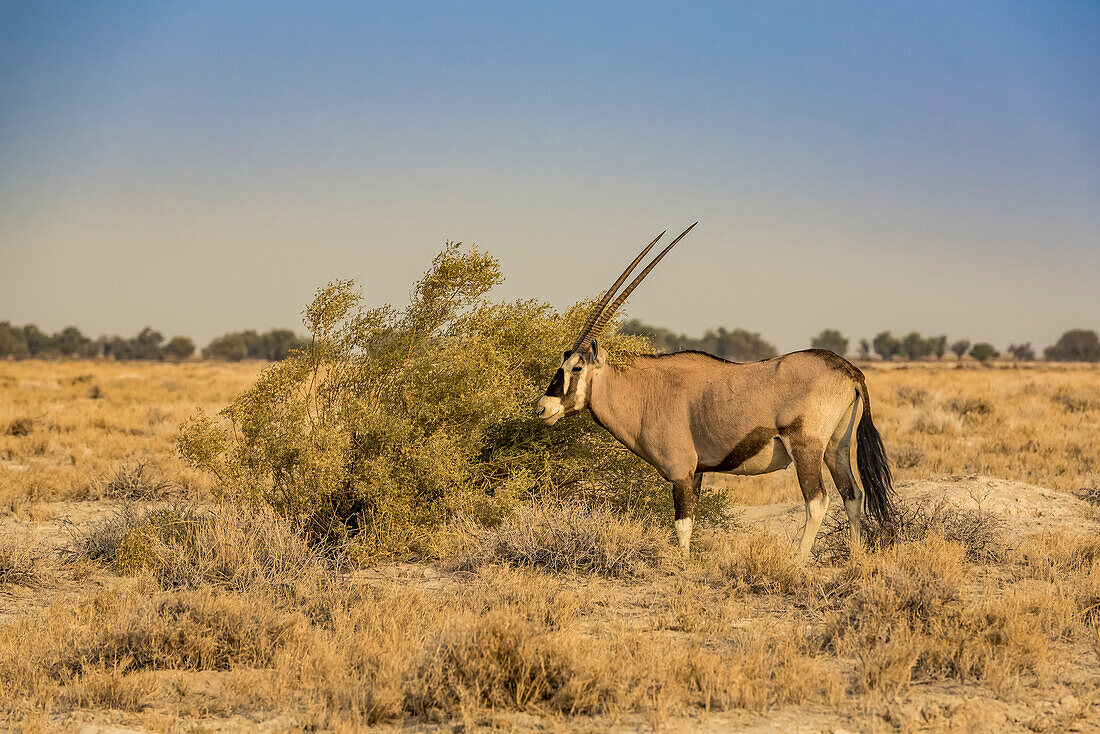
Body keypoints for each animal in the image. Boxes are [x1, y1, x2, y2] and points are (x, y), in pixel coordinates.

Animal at [536, 226, 897, 559]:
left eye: (576, 368)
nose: (542, 408)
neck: (644, 391)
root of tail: (847, 369)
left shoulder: (681, 472)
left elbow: (682, 524)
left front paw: (683, 567)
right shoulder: (697, 473)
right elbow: (690, 523)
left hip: (806, 447)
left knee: (818, 501)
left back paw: (797, 563)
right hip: (836, 446)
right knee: (852, 495)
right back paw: (855, 557)